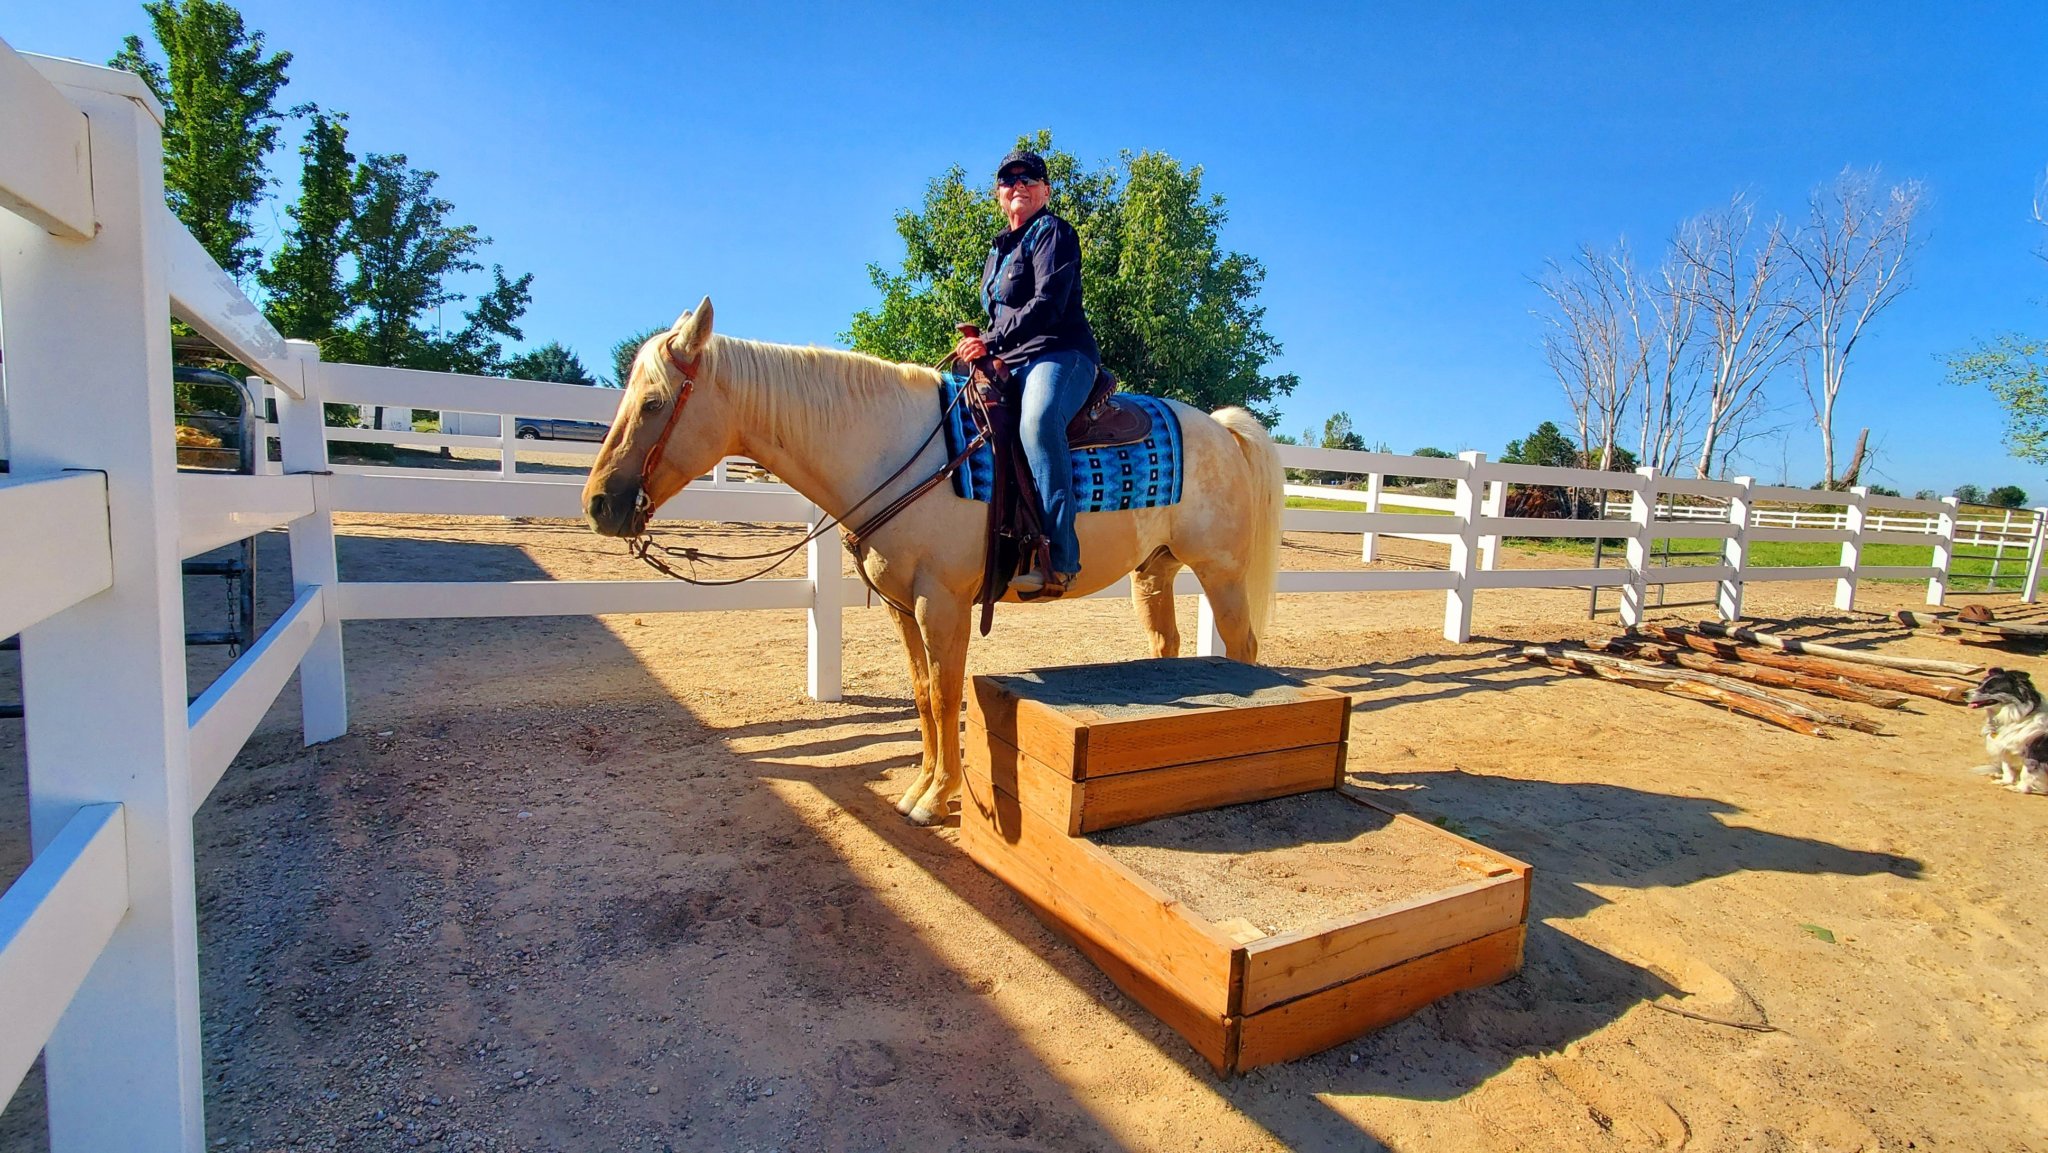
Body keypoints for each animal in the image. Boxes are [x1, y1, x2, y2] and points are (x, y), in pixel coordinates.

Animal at [581, 296, 1277, 819]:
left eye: (653, 402)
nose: (598, 505)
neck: (899, 450)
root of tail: (1221, 429)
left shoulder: (941, 603)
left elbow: (946, 696)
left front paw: (938, 798)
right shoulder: (900, 605)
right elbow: (920, 694)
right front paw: (920, 786)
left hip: (1221, 572)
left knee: (1242, 648)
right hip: (1154, 569)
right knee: (1166, 645)